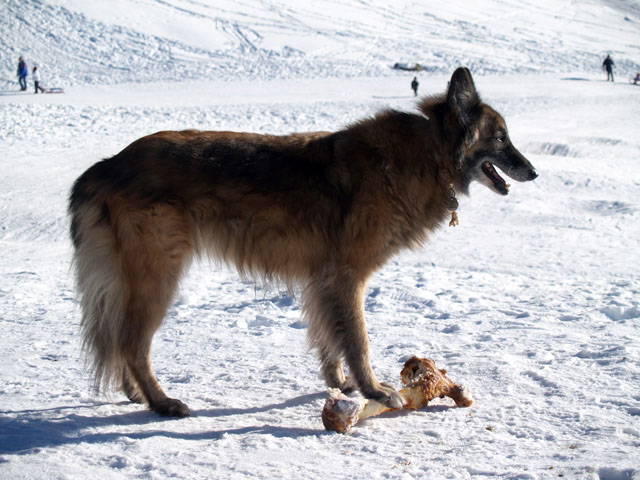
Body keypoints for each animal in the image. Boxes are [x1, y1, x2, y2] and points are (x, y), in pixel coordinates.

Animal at [69, 66, 536, 416]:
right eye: (500, 137)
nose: (533, 171)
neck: (428, 155)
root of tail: (107, 165)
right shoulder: (348, 277)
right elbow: (358, 341)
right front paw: (374, 391)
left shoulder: (323, 281)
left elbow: (331, 341)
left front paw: (341, 385)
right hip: (159, 277)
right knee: (132, 343)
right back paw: (161, 402)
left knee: (122, 339)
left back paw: (137, 394)